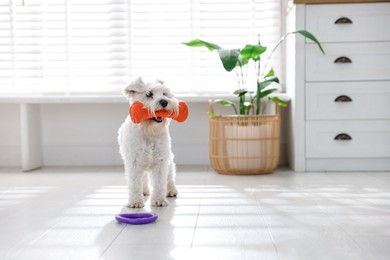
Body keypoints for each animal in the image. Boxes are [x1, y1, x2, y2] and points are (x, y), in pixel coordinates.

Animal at [117, 76, 178, 207]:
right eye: (149, 94)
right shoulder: (134, 161)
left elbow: (160, 182)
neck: (148, 130)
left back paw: (171, 190)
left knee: (170, 176)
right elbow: (135, 182)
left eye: (164, 93)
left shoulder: (161, 160)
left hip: (169, 160)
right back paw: (144, 191)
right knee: (143, 178)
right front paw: (135, 202)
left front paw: (159, 200)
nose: (164, 102)